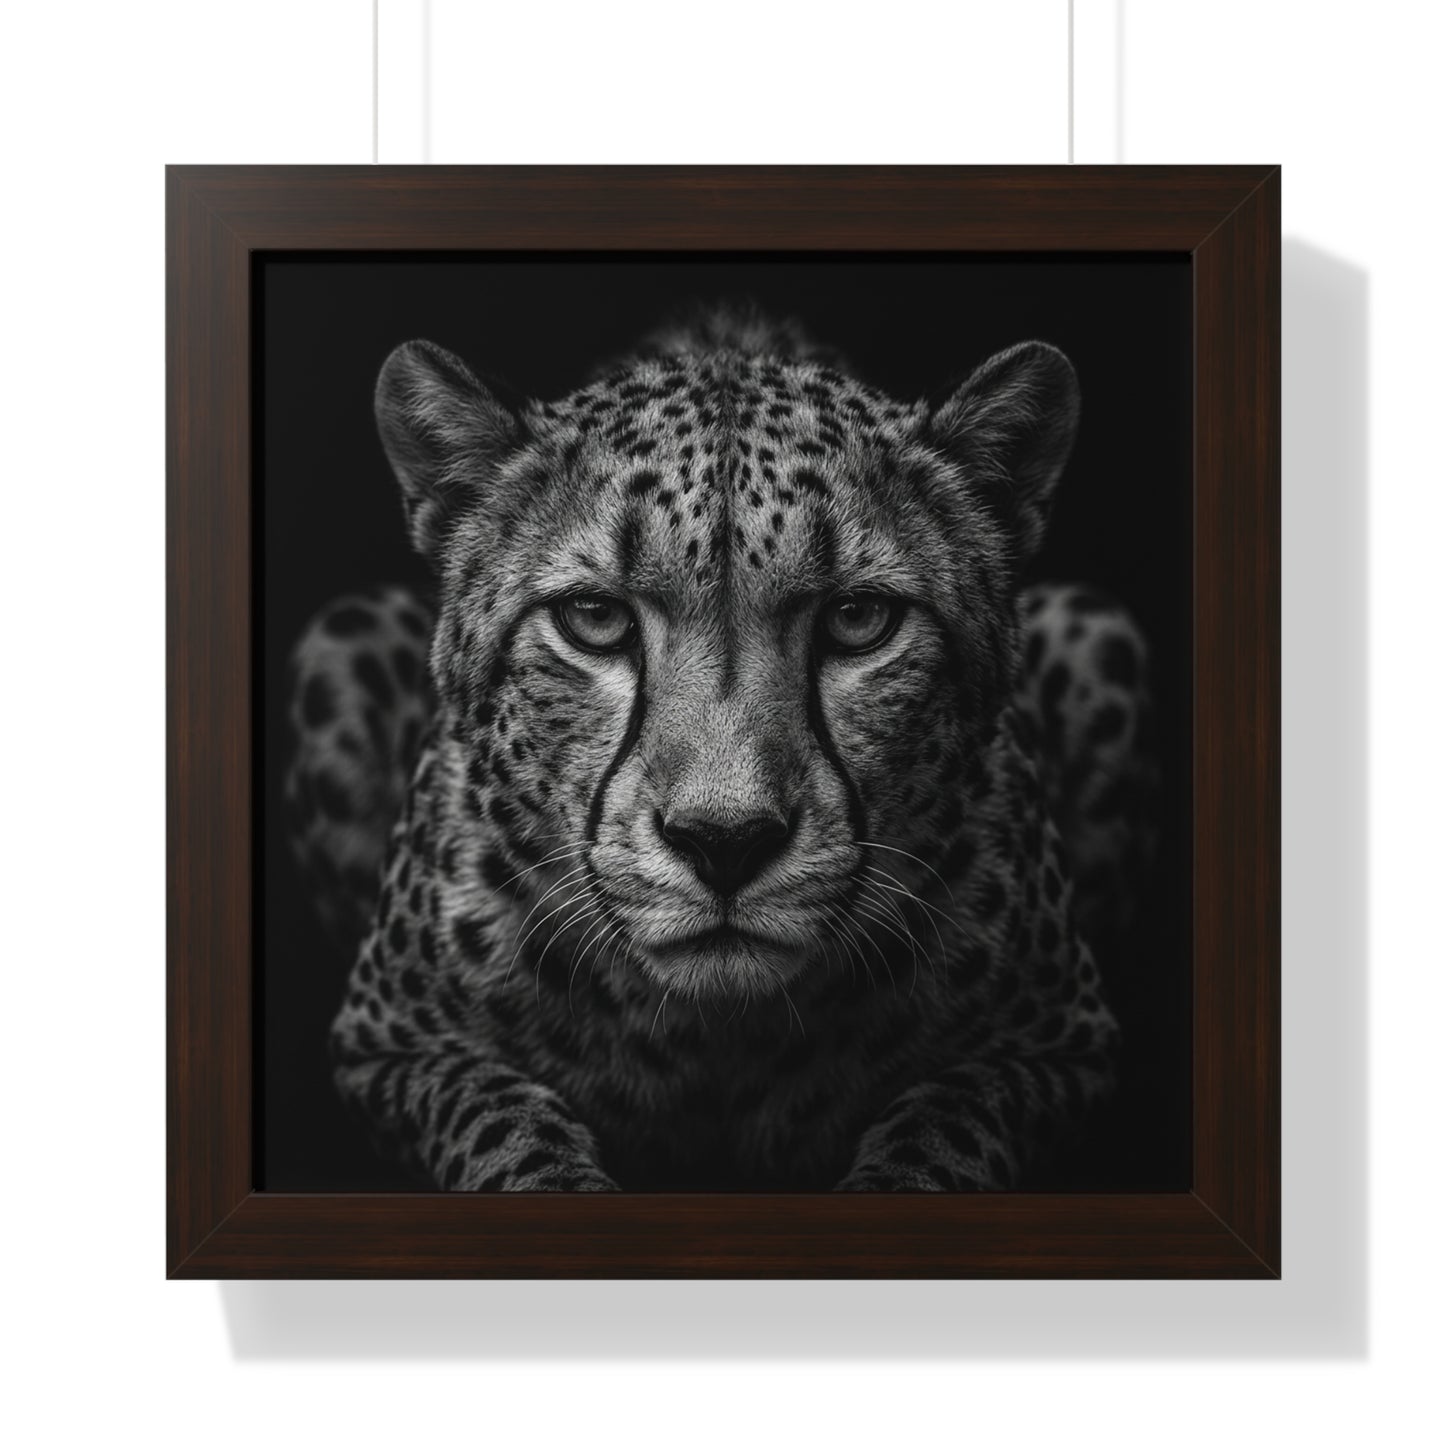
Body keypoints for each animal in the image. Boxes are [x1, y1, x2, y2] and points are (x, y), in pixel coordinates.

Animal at [285, 305, 1158, 1191]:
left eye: (858, 618)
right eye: (594, 617)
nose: (725, 842)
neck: (716, 1038)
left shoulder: (1060, 1046)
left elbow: (940, 1134)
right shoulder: (388, 1048)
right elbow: (506, 1127)